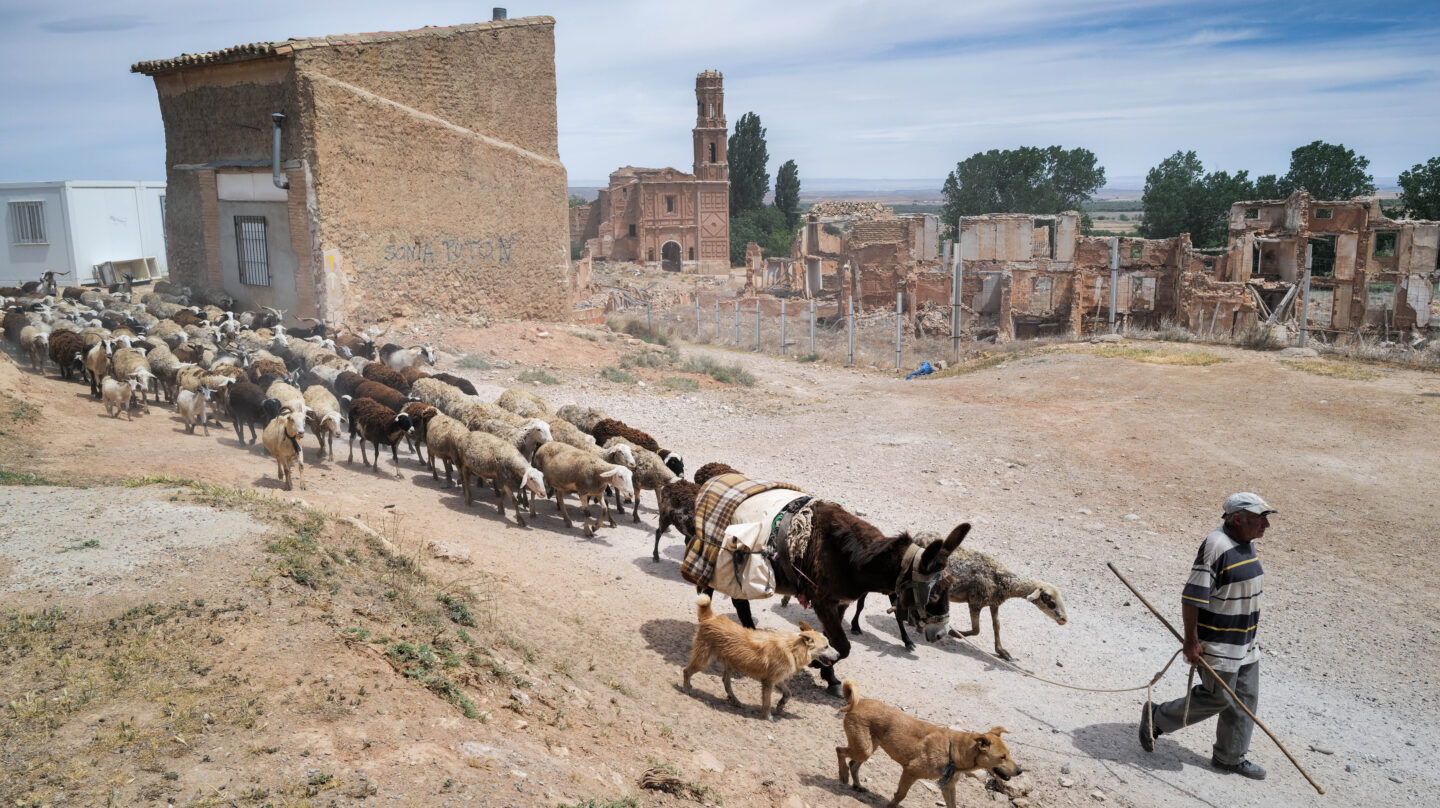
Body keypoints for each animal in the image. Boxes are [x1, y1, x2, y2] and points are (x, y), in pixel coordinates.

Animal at [685, 593, 840, 717]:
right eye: (826, 646)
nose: (839, 655)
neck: (793, 649)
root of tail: (710, 618)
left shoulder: (778, 679)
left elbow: (788, 693)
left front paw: (781, 705)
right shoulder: (768, 682)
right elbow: (766, 702)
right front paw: (768, 717)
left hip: (729, 665)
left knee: (726, 682)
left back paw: (735, 700)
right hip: (702, 661)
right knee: (686, 671)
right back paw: (686, 688)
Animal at [835, 679, 1025, 806]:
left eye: (1009, 754)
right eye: (1002, 757)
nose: (1020, 771)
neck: (954, 752)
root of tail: (858, 703)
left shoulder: (948, 787)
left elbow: (953, 805)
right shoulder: (910, 772)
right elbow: (900, 796)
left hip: (868, 748)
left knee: (853, 764)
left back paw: (857, 785)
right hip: (864, 748)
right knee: (839, 750)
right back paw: (843, 776)